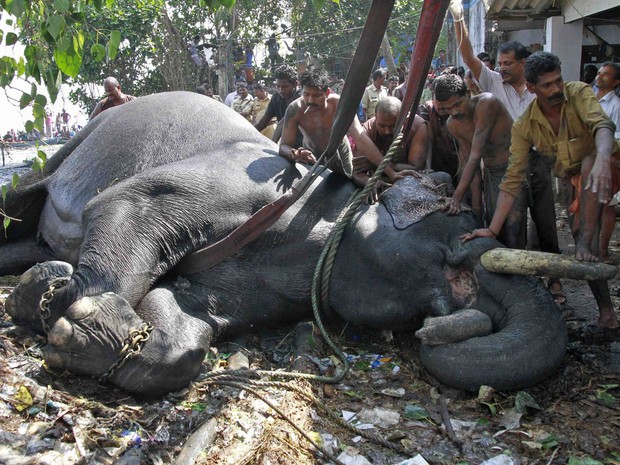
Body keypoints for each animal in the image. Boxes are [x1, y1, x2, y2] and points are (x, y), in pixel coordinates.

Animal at [1, 92, 568, 396]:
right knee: (22, 198)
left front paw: (67, 314)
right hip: (67, 149)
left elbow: (184, 319)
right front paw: (64, 314)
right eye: (460, 219)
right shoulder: (243, 181)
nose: (434, 331)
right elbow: (128, 202)